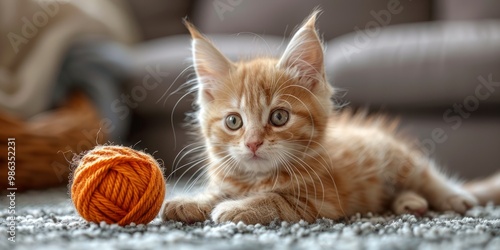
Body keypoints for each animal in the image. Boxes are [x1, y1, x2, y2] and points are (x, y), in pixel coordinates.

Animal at [162, 11, 498, 225]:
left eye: (279, 117)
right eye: (234, 122)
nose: (253, 144)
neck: (258, 178)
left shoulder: (319, 201)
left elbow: (273, 199)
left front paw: (233, 208)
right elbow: (218, 191)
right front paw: (191, 201)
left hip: (396, 158)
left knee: (430, 176)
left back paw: (454, 198)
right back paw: (409, 203)